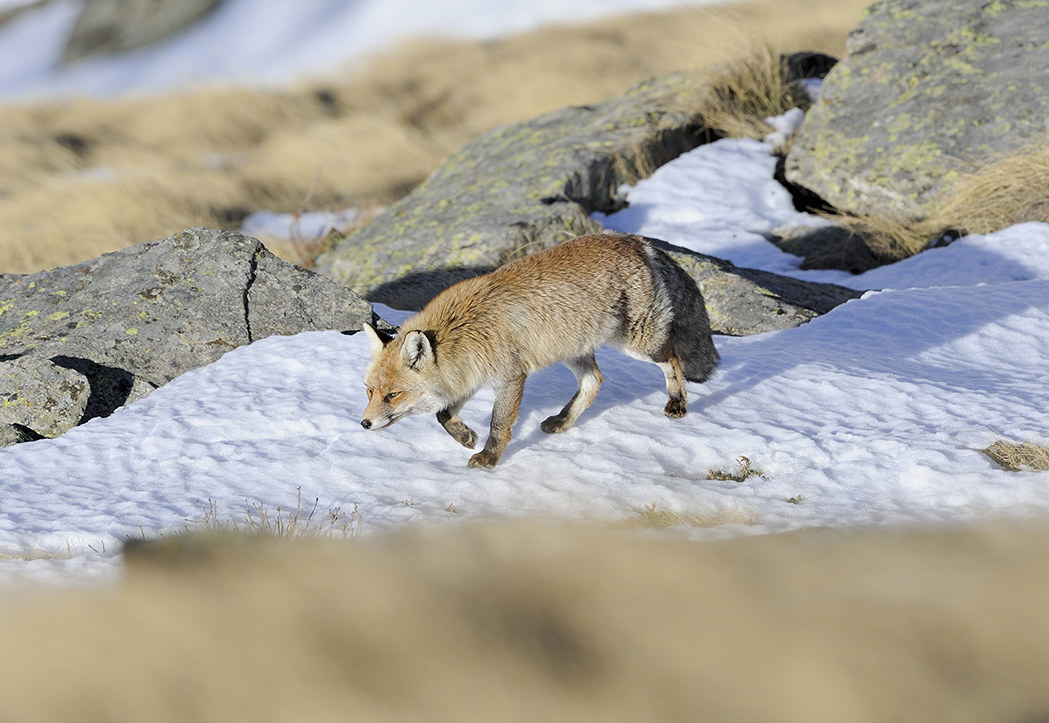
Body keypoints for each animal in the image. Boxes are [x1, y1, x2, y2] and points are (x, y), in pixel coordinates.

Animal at [360, 232, 719, 468]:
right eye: (369, 392)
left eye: (393, 395)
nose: (364, 424)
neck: (463, 328)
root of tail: (634, 239)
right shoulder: (468, 377)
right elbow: (443, 413)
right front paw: (465, 437)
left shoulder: (510, 377)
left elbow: (498, 424)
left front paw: (489, 457)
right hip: (574, 350)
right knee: (595, 381)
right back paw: (562, 422)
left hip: (638, 342)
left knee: (673, 361)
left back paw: (677, 403)